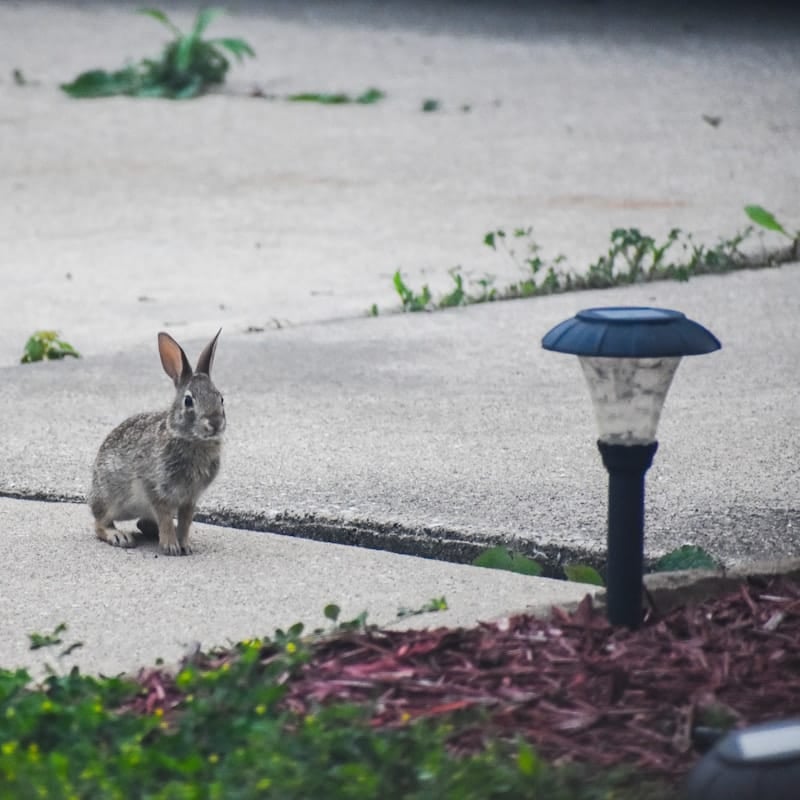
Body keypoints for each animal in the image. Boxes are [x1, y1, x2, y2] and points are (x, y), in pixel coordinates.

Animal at [88, 330, 226, 556]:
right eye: (188, 401)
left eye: (220, 398)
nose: (215, 423)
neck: (191, 439)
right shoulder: (155, 488)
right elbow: (165, 517)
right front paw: (171, 546)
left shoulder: (190, 498)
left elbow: (186, 521)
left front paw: (185, 545)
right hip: (110, 498)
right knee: (100, 523)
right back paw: (119, 536)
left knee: (143, 523)